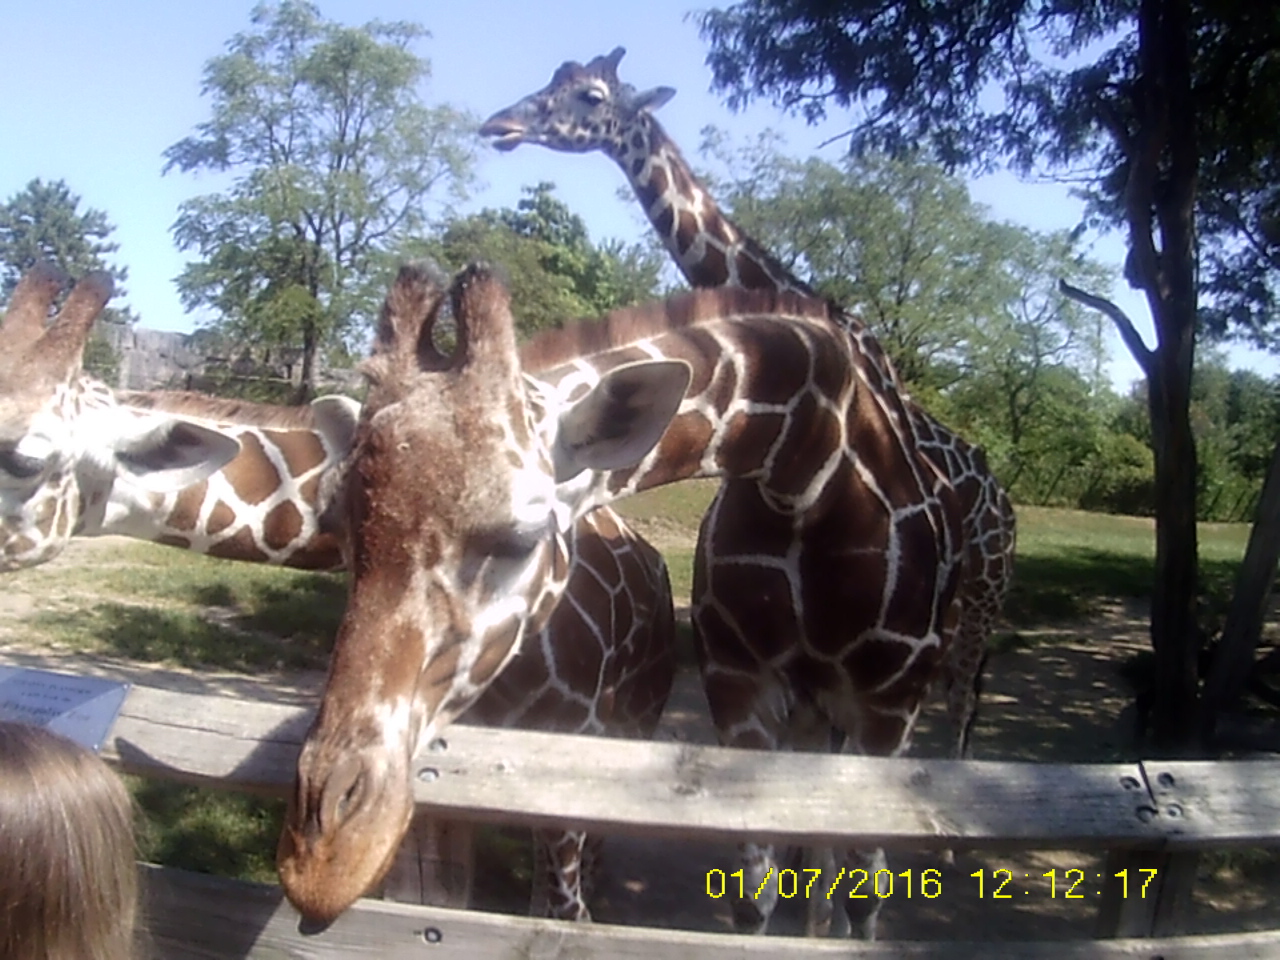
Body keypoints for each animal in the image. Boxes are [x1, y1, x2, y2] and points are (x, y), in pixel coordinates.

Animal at [277, 263, 962, 937]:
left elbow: (867, 887)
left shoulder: (888, 710)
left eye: (521, 538)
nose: (323, 860)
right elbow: (752, 895)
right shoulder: (739, 688)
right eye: (340, 530)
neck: (813, 471)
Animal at [480, 46, 1017, 764]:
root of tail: (1000, 495)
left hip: (982, 602)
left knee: (964, 699)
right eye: (552, 78)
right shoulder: (762, 674)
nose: (500, 124)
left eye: (591, 96)